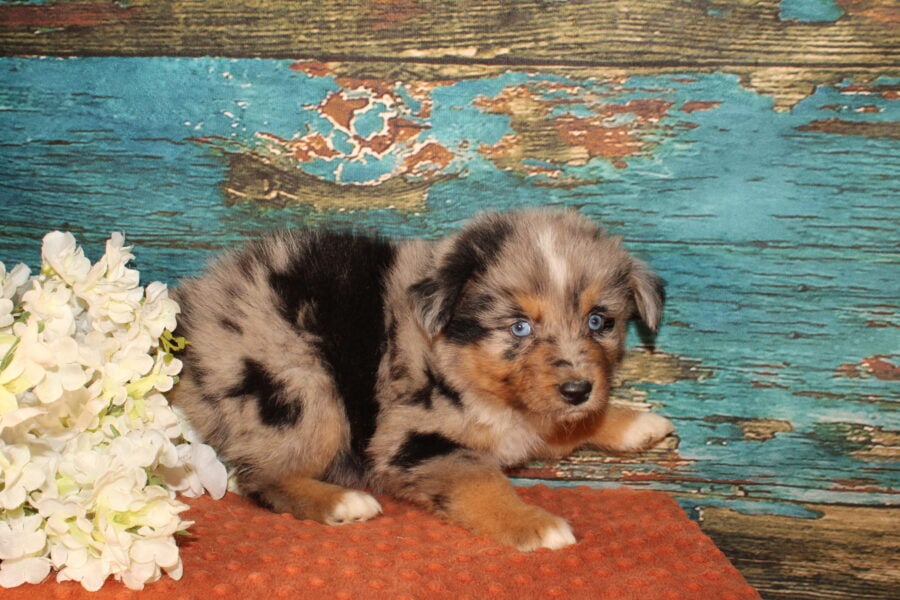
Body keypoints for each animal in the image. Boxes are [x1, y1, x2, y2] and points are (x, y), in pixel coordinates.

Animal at [171, 209, 674, 551]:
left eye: (598, 322)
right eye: (519, 327)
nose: (577, 390)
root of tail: (192, 319)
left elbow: (568, 426)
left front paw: (634, 423)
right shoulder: (411, 438)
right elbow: (481, 479)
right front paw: (533, 523)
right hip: (301, 385)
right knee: (260, 477)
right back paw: (342, 503)